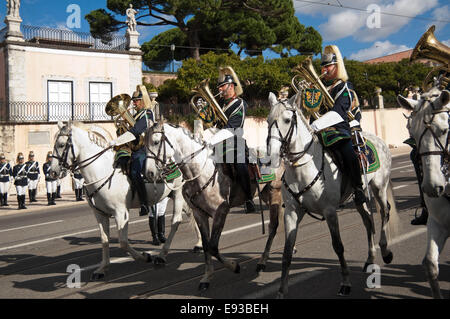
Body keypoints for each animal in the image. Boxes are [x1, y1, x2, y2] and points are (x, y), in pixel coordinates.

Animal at [48, 121, 200, 282]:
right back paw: (199, 243)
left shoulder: (121, 212)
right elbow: (104, 240)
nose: (52, 172)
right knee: (192, 213)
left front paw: (145, 256)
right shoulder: (99, 214)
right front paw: (102, 268)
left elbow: (123, 242)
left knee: (176, 221)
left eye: (61, 144)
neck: (102, 172)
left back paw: (162, 255)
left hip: (178, 193)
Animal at [144, 123, 284, 292]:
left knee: (273, 226)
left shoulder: (220, 212)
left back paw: (263, 261)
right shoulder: (199, 214)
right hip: (265, 194)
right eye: (144, 144)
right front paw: (206, 277)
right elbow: (206, 246)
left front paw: (234, 266)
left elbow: (213, 246)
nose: (149, 174)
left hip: (274, 192)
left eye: (156, 142)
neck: (200, 172)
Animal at [266, 92, 400, 298]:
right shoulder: (292, 212)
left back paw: (385, 251)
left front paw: (345, 283)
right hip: (359, 196)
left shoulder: (329, 211)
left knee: (385, 212)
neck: (302, 169)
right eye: (268, 121)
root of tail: (378, 140)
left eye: (287, 120)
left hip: (379, 186)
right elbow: (287, 252)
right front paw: (281, 291)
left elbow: (338, 246)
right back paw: (370, 259)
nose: (272, 153)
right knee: (368, 221)